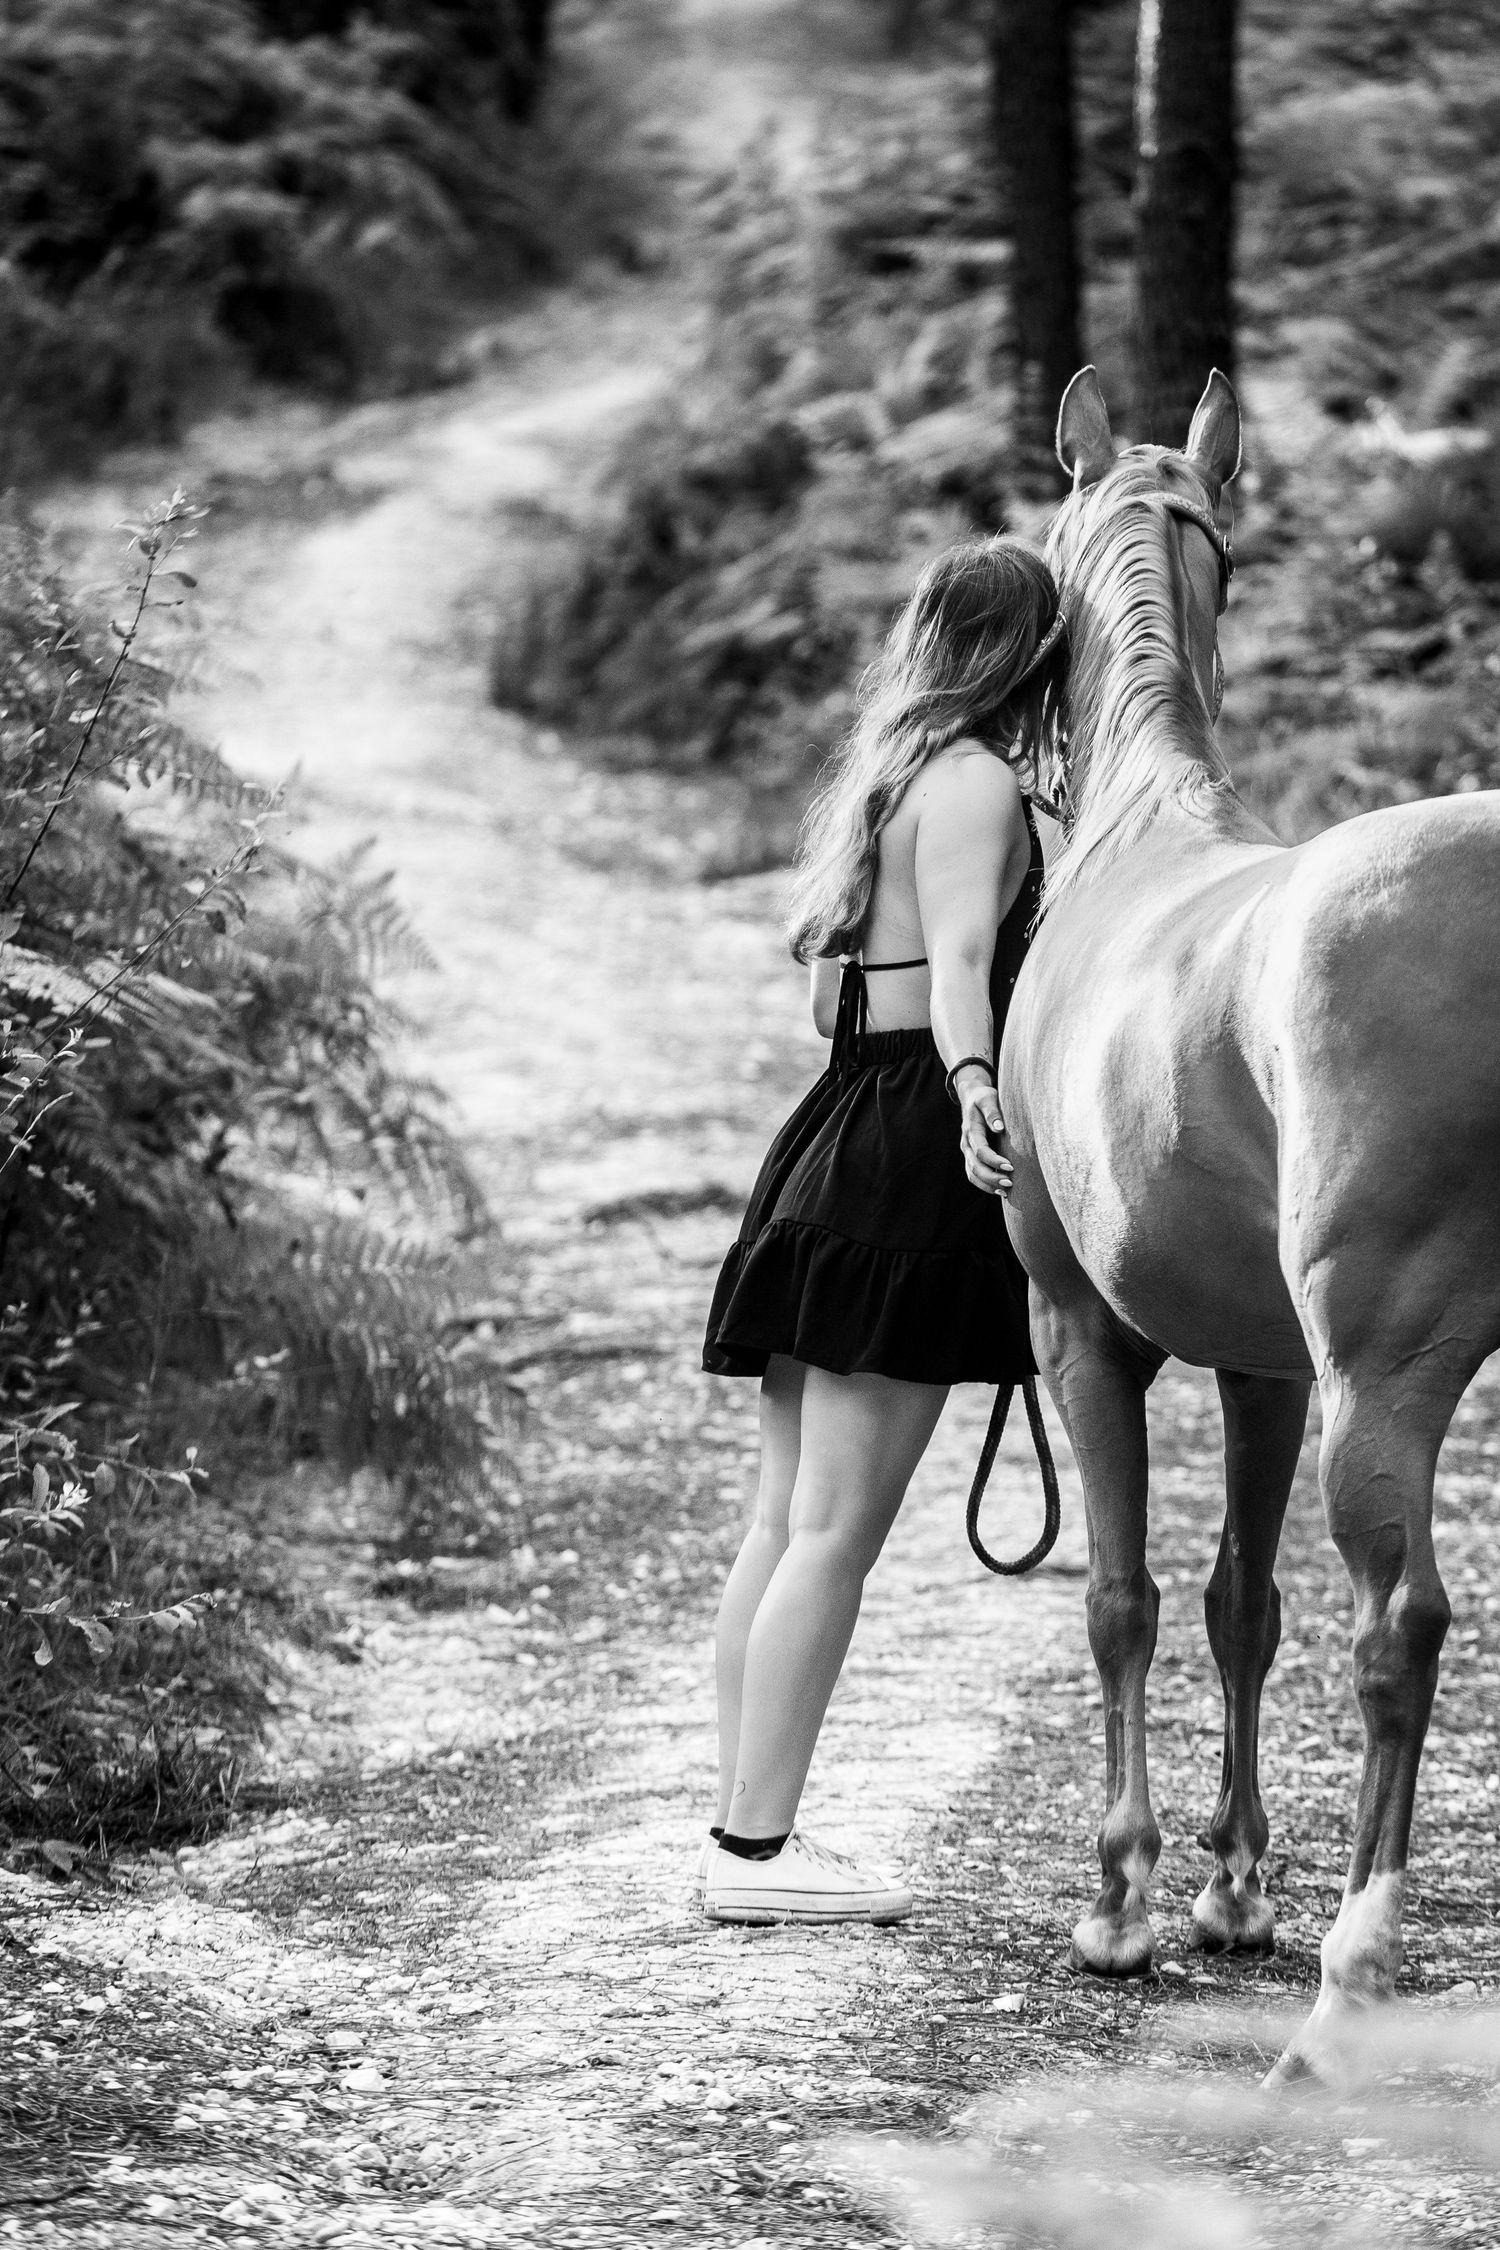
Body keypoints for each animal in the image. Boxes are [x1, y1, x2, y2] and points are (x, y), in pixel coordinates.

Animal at [998, 364, 1500, 2084]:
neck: (1140, 833)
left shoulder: (1080, 1331)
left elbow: (1122, 1599)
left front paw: (1125, 1899)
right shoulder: (1265, 1367)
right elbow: (1238, 1605)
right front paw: (1230, 1885)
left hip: (1388, 1382)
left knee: (1403, 1624)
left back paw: (1356, 1975)